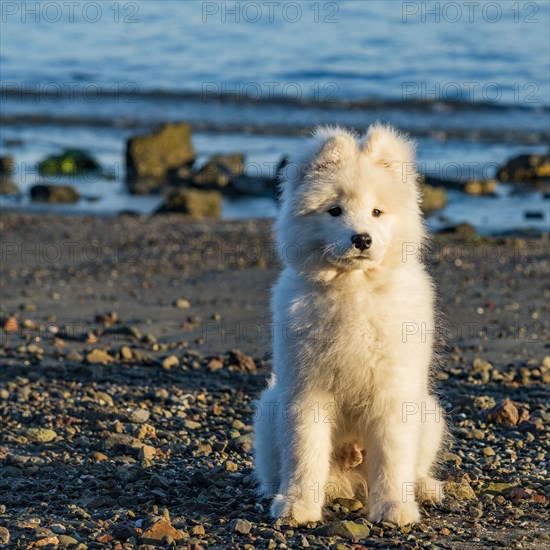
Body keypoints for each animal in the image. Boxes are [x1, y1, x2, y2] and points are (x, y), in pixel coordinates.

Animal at [256, 124, 448, 528]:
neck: (354, 288)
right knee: (275, 469)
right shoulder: (307, 391)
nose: (361, 238)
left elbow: (393, 456)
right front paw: (298, 506)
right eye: (335, 210)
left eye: (377, 211)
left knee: (415, 466)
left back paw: (424, 489)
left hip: (430, 413)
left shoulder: (394, 394)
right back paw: (277, 493)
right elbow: (305, 452)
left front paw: (394, 508)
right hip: (268, 410)